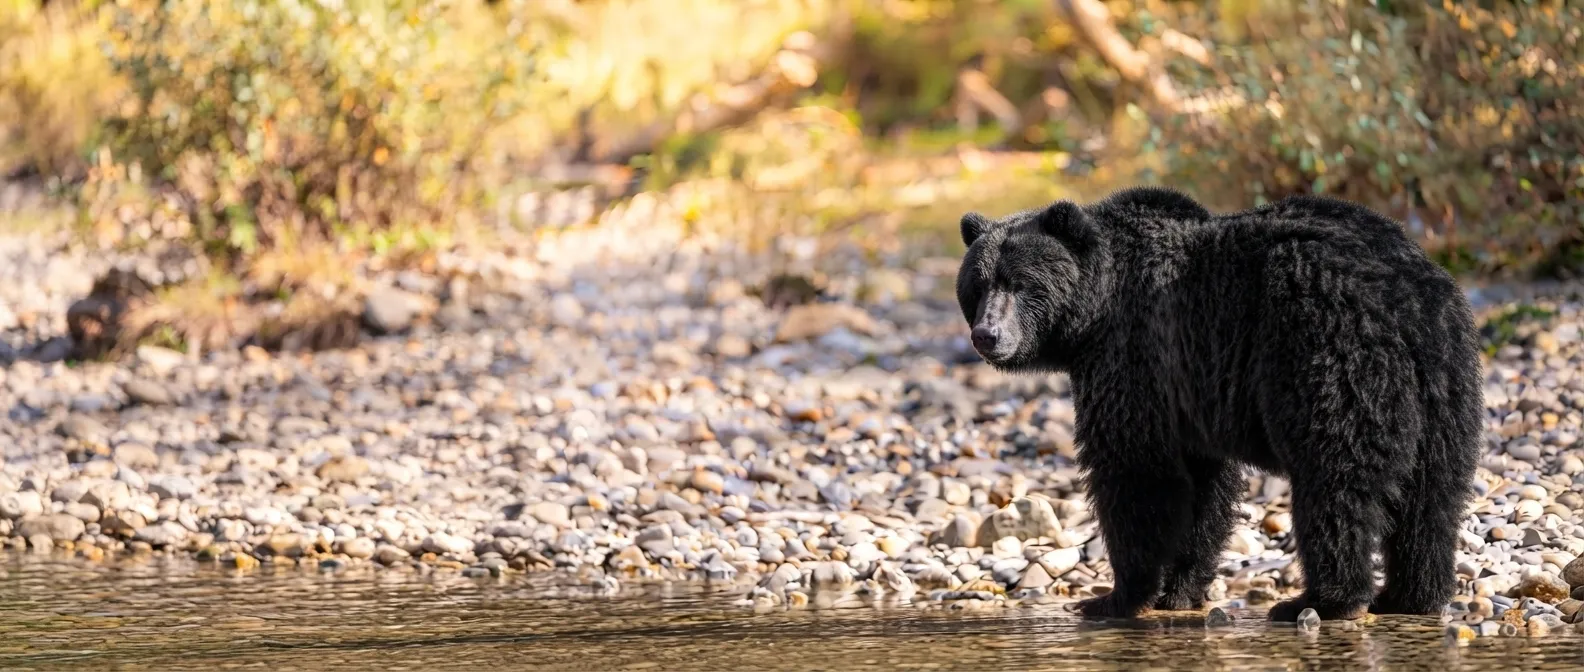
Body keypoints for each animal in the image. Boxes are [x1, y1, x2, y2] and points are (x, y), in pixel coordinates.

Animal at [954, 186, 1482, 622]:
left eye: (1021, 283)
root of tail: (1402, 293)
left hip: (1325, 347)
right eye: (977, 285)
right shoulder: (1193, 390)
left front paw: (1112, 597)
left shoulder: (1136, 355)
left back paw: (1322, 601)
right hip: (1445, 379)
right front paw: (1180, 589)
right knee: (1434, 492)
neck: (1094, 314)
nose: (987, 335)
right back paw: (1413, 596)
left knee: (1336, 478)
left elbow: (1134, 471)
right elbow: (1205, 487)